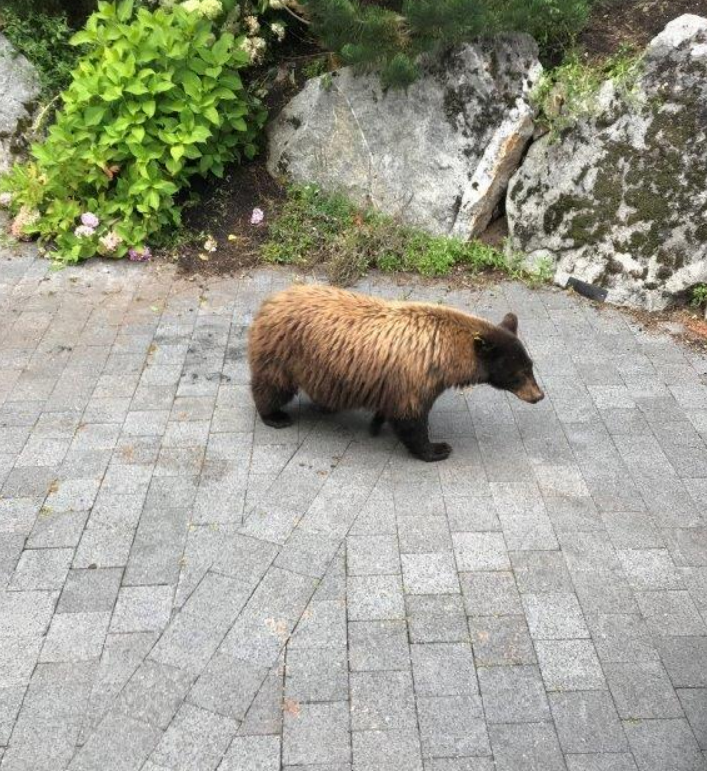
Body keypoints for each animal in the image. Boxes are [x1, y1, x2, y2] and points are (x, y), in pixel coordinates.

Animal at [248, 284, 544, 462]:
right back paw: (275, 416)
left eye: (531, 366)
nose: (539, 396)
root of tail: (270, 300)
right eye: (519, 373)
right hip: (283, 352)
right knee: (272, 386)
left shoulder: (397, 380)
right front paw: (437, 448)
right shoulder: (415, 377)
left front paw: (376, 424)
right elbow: (411, 419)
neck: (443, 354)